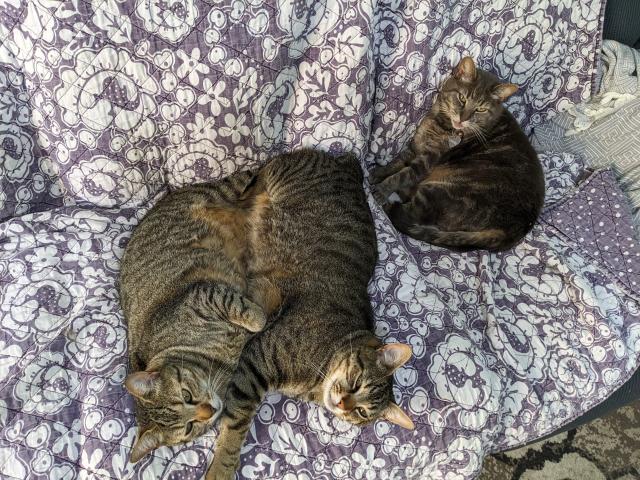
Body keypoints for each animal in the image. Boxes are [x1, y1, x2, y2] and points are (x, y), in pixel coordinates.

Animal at [120, 172, 280, 462]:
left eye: (186, 395)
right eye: (188, 427)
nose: (209, 411)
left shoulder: (205, 294)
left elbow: (244, 311)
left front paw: (256, 319)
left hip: (222, 190)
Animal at [208, 149, 412, 480]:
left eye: (361, 412)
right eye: (357, 383)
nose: (343, 404)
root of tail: (349, 164)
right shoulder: (255, 362)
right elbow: (235, 426)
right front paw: (220, 469)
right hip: (280, 177)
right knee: (259, 177)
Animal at [370, 56, 544, 251]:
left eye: (481, 109)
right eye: (462, 98)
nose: (463, 119)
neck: (441, 123)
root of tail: (513, 232)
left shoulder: (427, 160)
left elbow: (401, 175)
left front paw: (382, 189)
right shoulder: (415, 147)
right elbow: (396, 162)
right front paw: (377, 173)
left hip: (439, 191)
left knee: (408, 213)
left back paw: (389, 205)